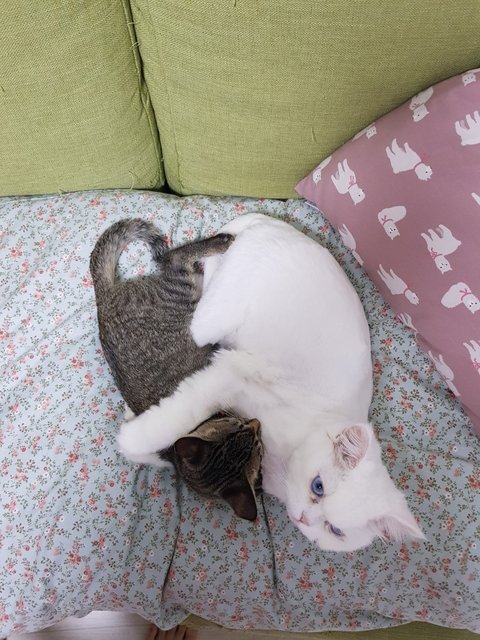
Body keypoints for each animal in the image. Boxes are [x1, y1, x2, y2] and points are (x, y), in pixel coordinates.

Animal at [90, 218, 263, 521]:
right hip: (182, 291)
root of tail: (104, 298)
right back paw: (222, 241)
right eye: (246, 433)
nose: (256, 424)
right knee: (173, 258)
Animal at [117, 213, 425, 552]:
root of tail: (271, 222)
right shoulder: (231, 374)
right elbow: (180, 414)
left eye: (335, 531)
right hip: (212, 319)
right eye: (318, 486)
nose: (304, 519)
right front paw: (133, 439)